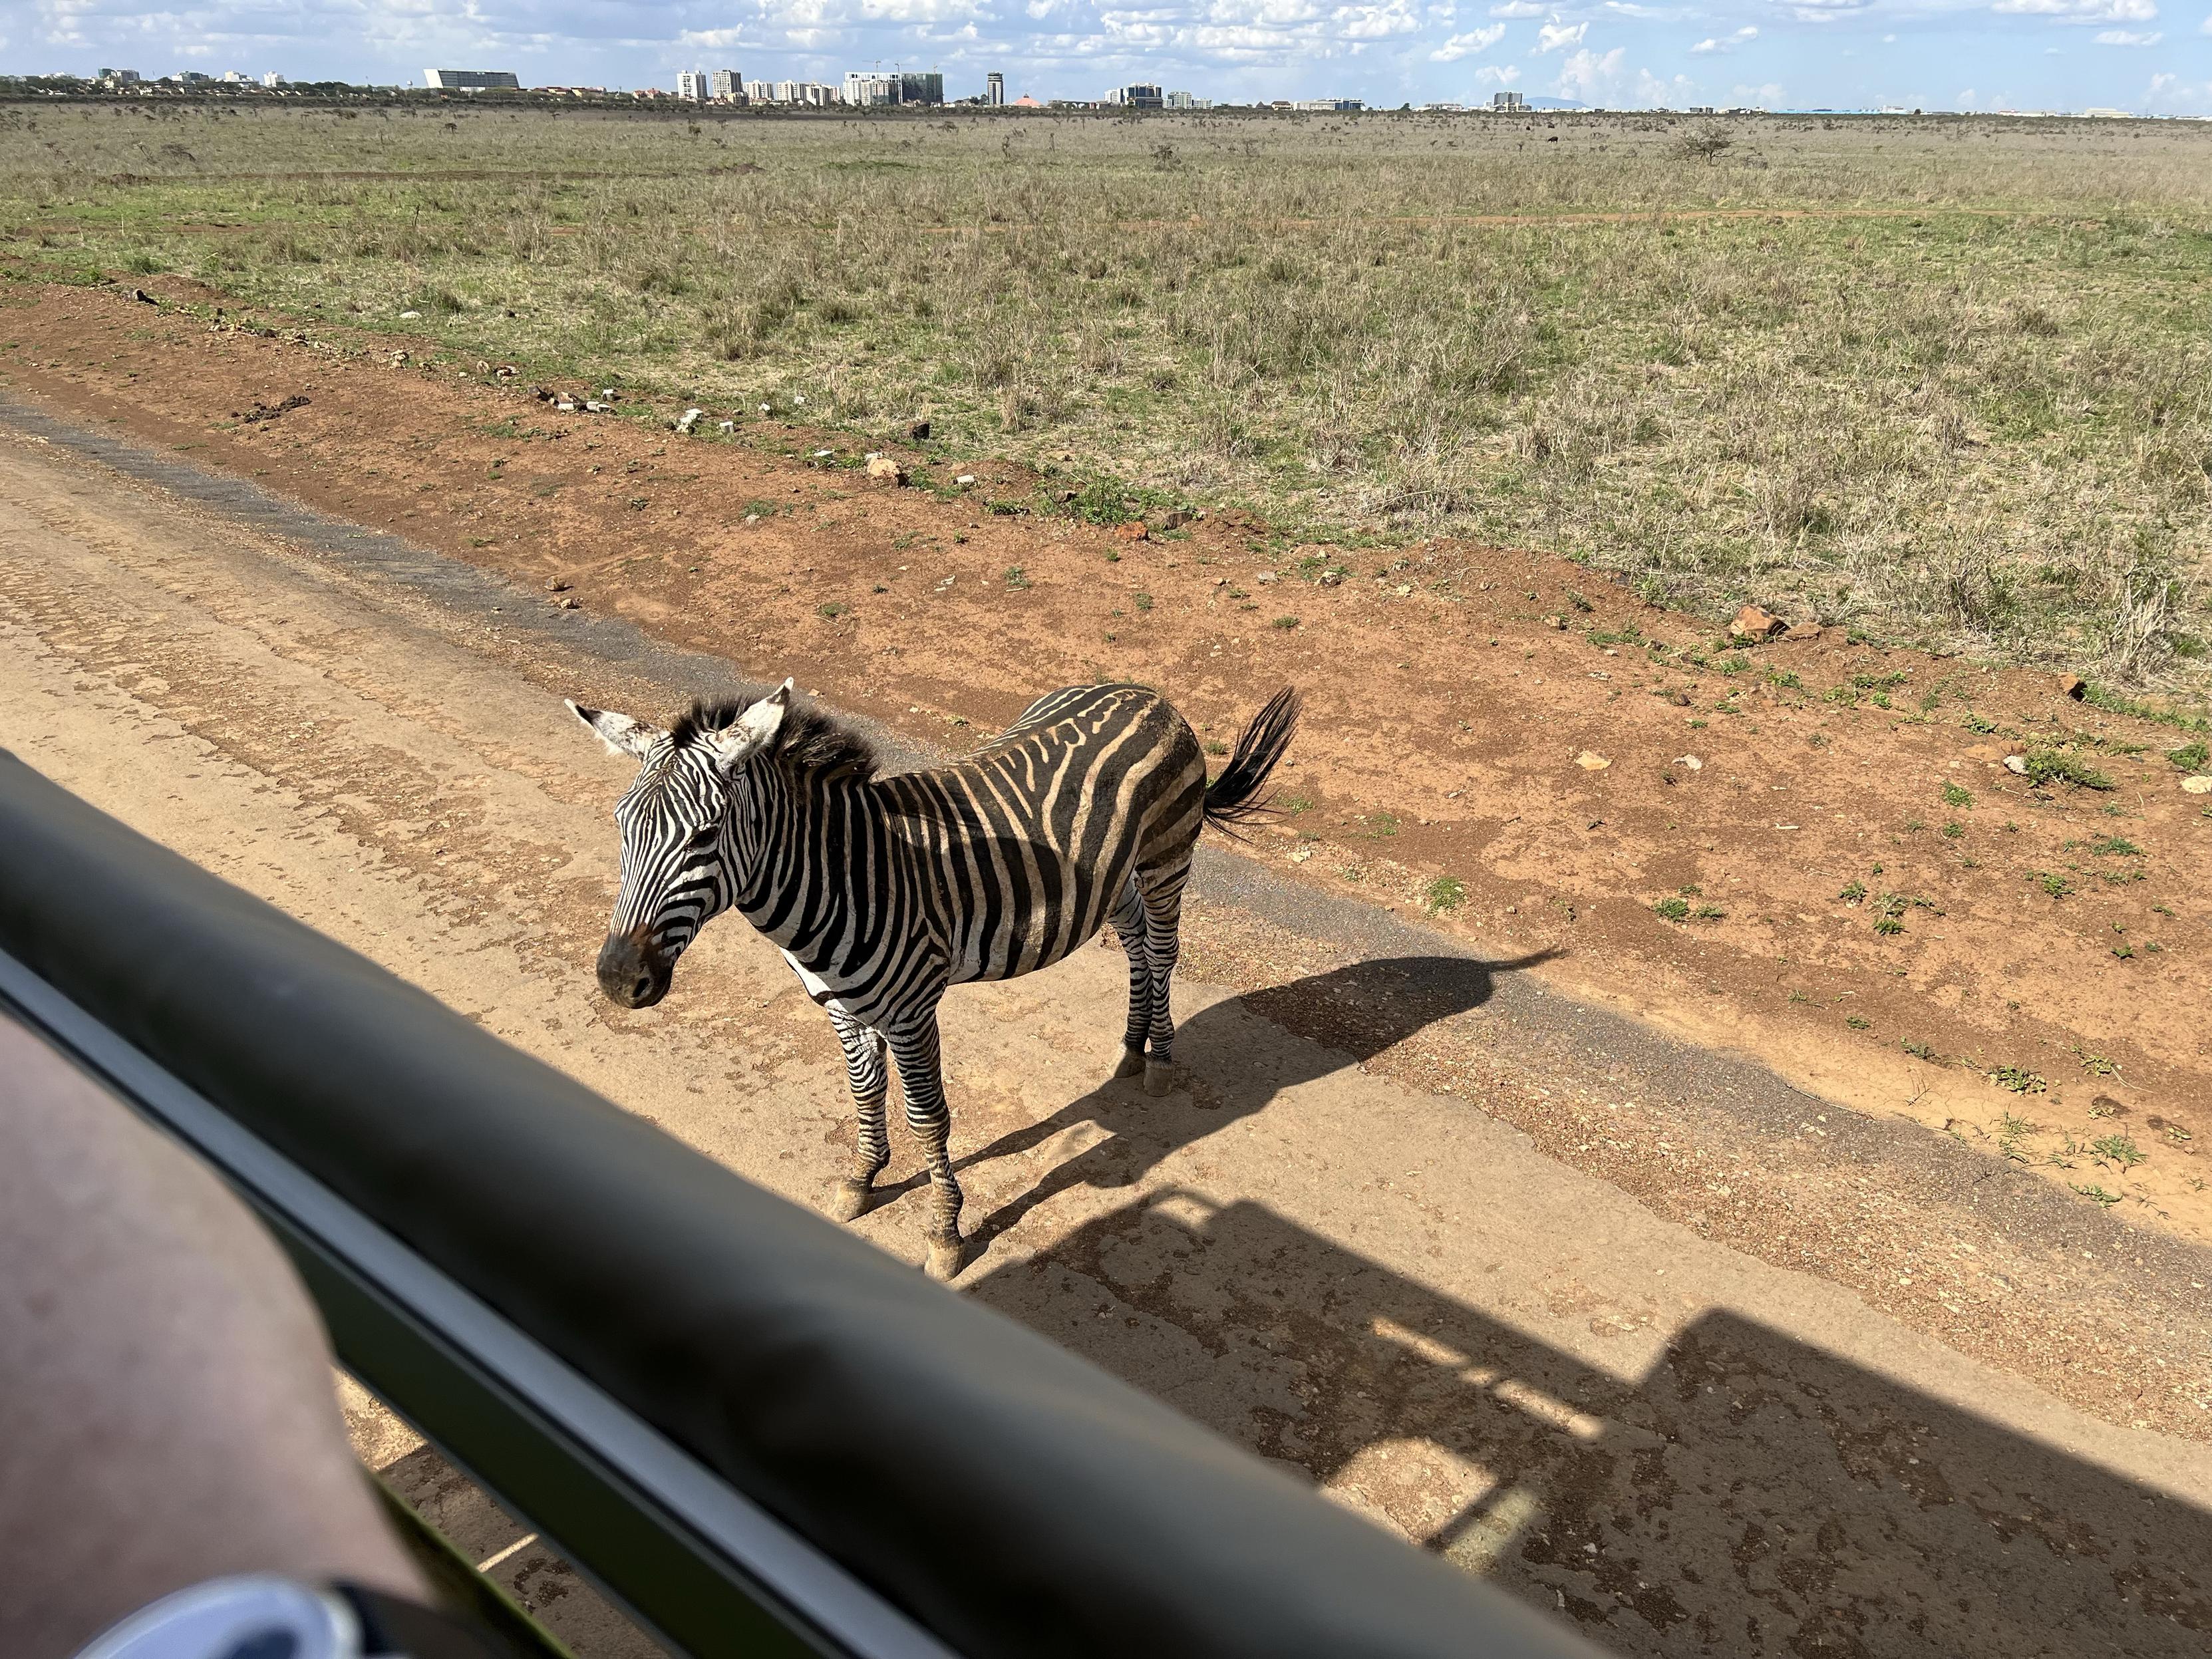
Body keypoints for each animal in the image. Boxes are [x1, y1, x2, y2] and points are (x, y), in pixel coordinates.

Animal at [561, 681, 1301, 1282]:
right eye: (622, 825)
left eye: (706, 835)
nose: (618, 979)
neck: (840, 877)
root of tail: (1146, 694)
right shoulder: (840, 1005)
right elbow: (863, 1093)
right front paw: (862, 1178)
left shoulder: (913, 1011)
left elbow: (928, 1117)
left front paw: (945, 1233)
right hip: (1109, 877)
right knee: (1137, 945)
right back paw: (1128, 1048)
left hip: (1166, 855)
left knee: (1163, 949)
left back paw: (1161, 1059)